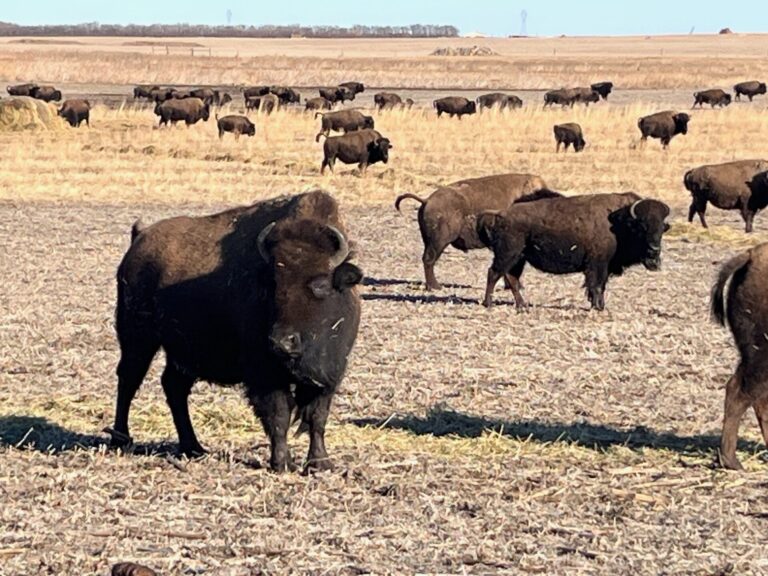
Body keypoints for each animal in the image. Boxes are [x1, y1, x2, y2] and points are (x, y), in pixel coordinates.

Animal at [106, 190, 362, 472]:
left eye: (320, 284)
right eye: (273, 284)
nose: (282, 342)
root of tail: (140, 237)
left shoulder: (329, 375)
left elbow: (317, 417)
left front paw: (320, 463)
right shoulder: (265, 375)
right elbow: (279, 415)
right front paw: (282, 463)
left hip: (181, 354)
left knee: (173, 386)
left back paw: (193, 447)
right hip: (138, 338)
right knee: (128, 380)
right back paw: (121, 440)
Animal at [477, 193, 670, 310]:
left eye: (662, 228)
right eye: (642, 227)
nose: (654, 251)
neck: (620, 223)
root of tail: (499, 215)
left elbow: (600, 286)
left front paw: (598, 305)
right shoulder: (598, 264)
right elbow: (596, 285)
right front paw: (598, 307)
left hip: (518, 259)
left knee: (512, 278)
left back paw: (522, 306)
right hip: (508, 255)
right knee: (493, 273)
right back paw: (488, 303)